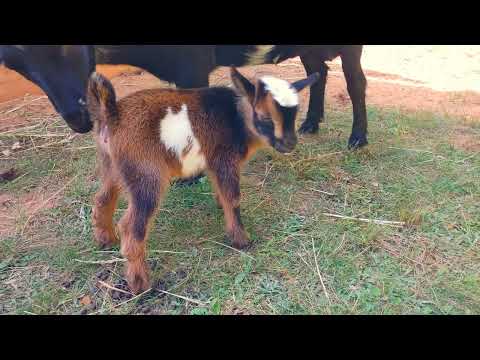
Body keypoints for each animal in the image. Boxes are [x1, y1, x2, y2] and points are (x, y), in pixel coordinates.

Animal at [87, 67, 318, 292]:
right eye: (265, 117)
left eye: (294, 115)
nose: (290, 143)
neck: (237, 118)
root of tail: (112, 113)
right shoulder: (225, 159)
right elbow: (233, 198)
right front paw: (240, 240)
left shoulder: (215, 163)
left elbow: (222, 192)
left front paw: (220, 206)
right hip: (146, 174)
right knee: (131, 227)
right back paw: (140, 284)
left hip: (113, 166)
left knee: (102, 199)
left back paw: (106, 240)